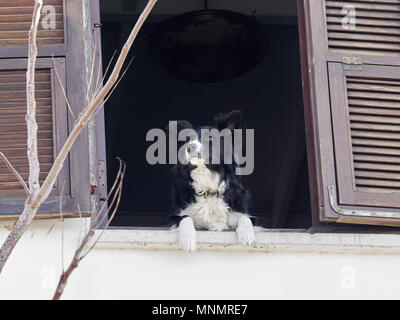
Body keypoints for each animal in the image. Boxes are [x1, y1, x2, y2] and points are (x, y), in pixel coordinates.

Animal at [167, 110, 255, 252]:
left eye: (210, 138)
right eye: (188, 140)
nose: (190, 148)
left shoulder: (243, 211)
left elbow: (245, 217)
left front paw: (247, 235)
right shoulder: (172, 216)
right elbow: (185, 218)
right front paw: (188, 240)